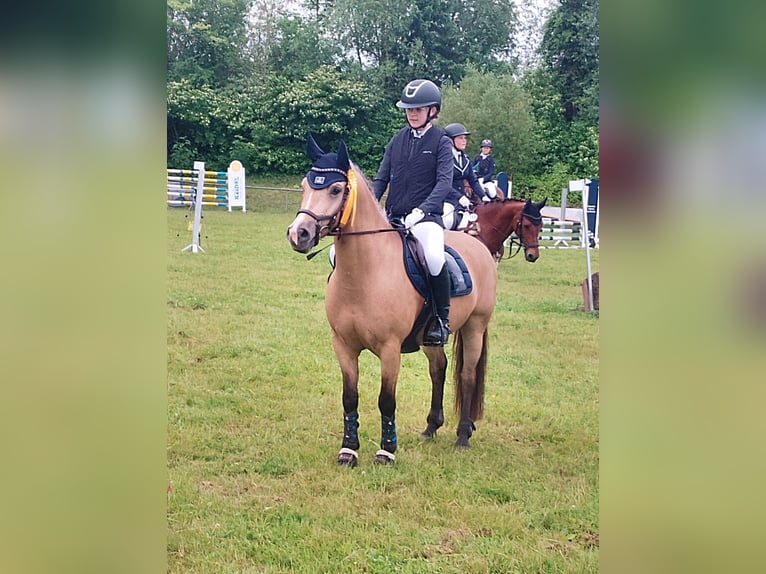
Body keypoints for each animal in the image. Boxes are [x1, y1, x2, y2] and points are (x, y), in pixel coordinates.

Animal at [287, 136, 498, 466]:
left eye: (335, 190)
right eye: (306, 186)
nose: (299, 234)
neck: (365, 274)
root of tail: (479, 246)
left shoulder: (389, 350)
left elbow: (386, 400)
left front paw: (386, 451)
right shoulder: (343, 345)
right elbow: (350, 397)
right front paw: (348, 450)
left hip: (475, 326)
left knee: (466, 376)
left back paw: (463, 436)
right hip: (429, 337)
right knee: (439, 368)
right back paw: (430, 428)